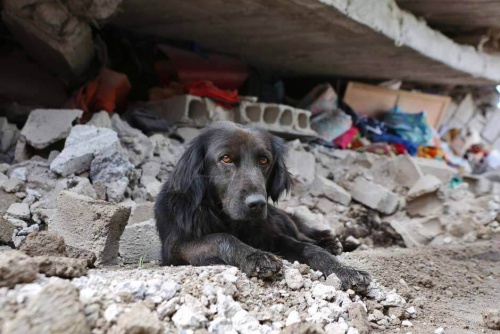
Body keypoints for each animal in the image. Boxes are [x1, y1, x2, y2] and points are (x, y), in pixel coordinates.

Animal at [154, 120, 370, 290]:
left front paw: (344, 270)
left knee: (305, 235)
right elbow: (221, 238)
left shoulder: (274, 236)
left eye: (264, 160)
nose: (257, 203)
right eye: (226, 158)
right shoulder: (175, 248)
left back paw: (332, 243)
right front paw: (256, 256)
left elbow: (310, 249)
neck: (231, 222)